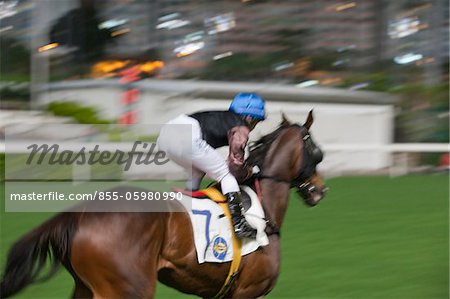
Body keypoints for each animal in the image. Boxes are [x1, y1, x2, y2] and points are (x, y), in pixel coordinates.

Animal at [1, 111, 328, 298]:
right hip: (127, 289)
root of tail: (77, 215)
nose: (320, 191)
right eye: (316, 150)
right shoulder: (247, 293)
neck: (262, 208)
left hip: (86, 288)